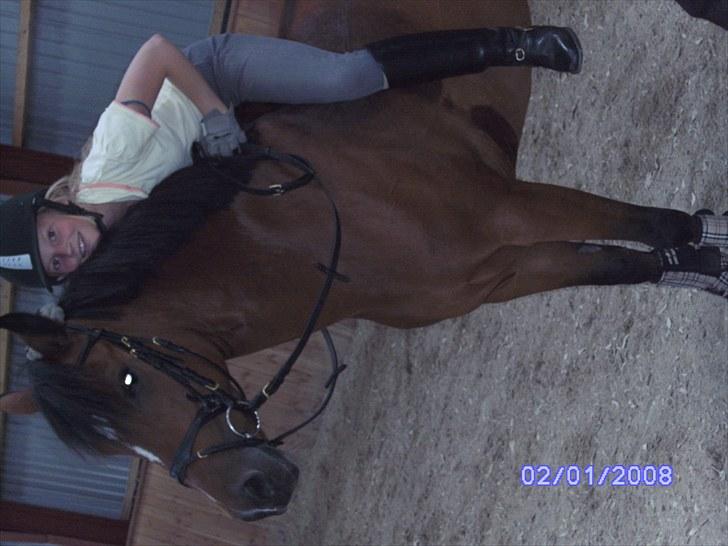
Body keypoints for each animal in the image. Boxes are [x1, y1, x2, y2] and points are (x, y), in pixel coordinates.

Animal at [0, 0, 724, 522]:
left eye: (130, 383)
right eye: (109, 444)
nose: (257, 496)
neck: (309, 236)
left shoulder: (514, 211)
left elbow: (647, 224)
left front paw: (711, 238)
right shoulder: (500, 274)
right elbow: (624, 265)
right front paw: (704, 268)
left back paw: (550, 44)